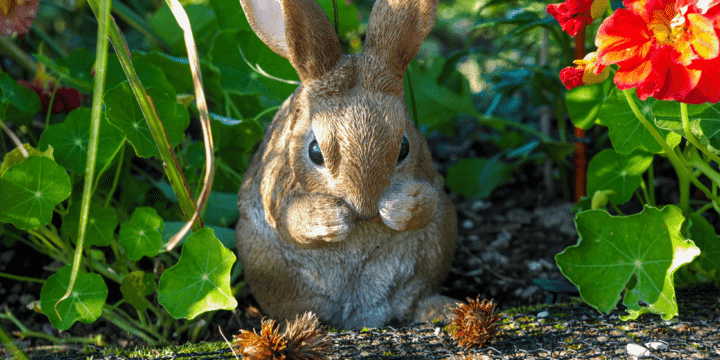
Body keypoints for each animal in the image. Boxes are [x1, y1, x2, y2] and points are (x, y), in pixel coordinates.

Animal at [238, 0, 462, 330]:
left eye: (404, 148)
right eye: (315, 152)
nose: (365, 208)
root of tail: (360, 313)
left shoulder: (428, 173)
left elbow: (427, 202)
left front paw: (397, 207)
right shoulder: (278, 187)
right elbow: (290, 217)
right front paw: (332, 218)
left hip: (433, 251)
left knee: (413, 300)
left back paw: (442, 310)